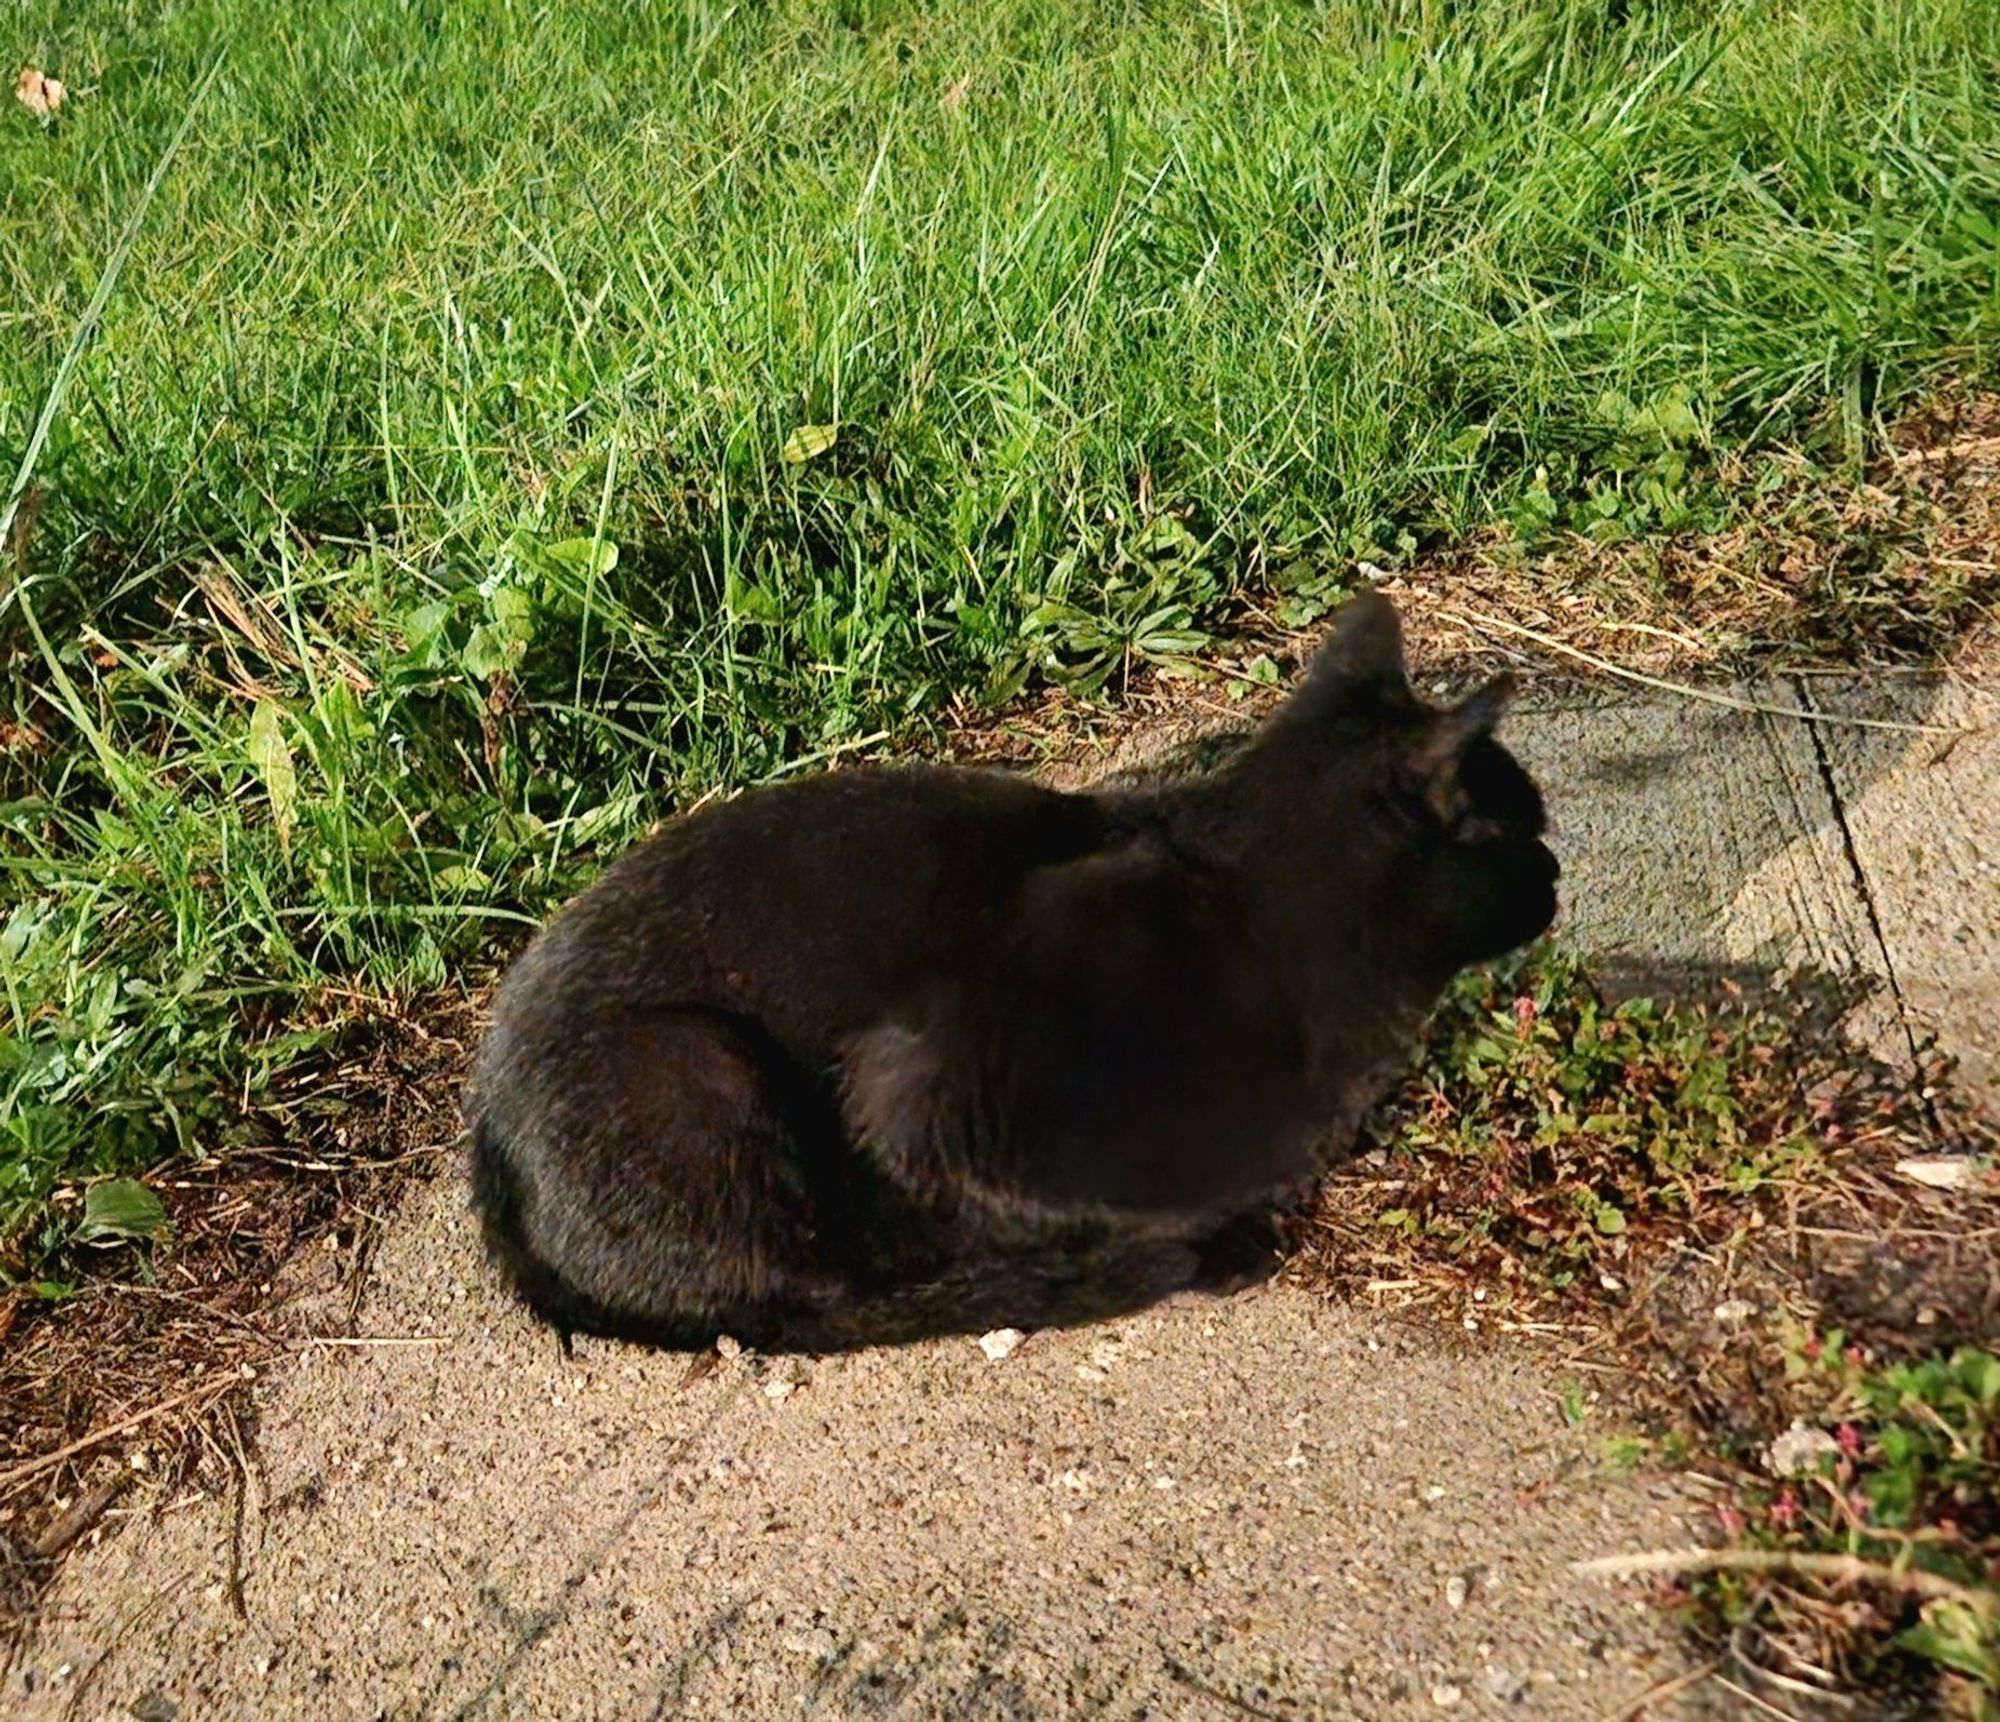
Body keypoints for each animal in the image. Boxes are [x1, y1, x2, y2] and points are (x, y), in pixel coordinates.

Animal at [460, 596, 1552, 1352]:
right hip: (701, 1066)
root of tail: (485, 1135)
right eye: (1522, 831)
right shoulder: (921, 1093)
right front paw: (1184, 1239)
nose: (1554, 870)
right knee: (817, 1296)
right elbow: (1049, 1209)